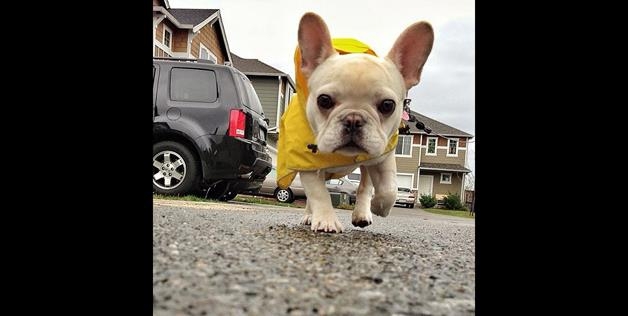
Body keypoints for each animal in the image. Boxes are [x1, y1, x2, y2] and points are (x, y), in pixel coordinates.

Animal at [278, 12, 432, 232]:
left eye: (388, 105)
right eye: (324, 100)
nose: (353, 119)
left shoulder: (383, 156)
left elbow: (389, 188)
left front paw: (380, 206)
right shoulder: (306, 165)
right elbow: (318, 193)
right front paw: (325, 220)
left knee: (365, 187)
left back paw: (362, 213)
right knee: (312, 196)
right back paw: (310, 216)